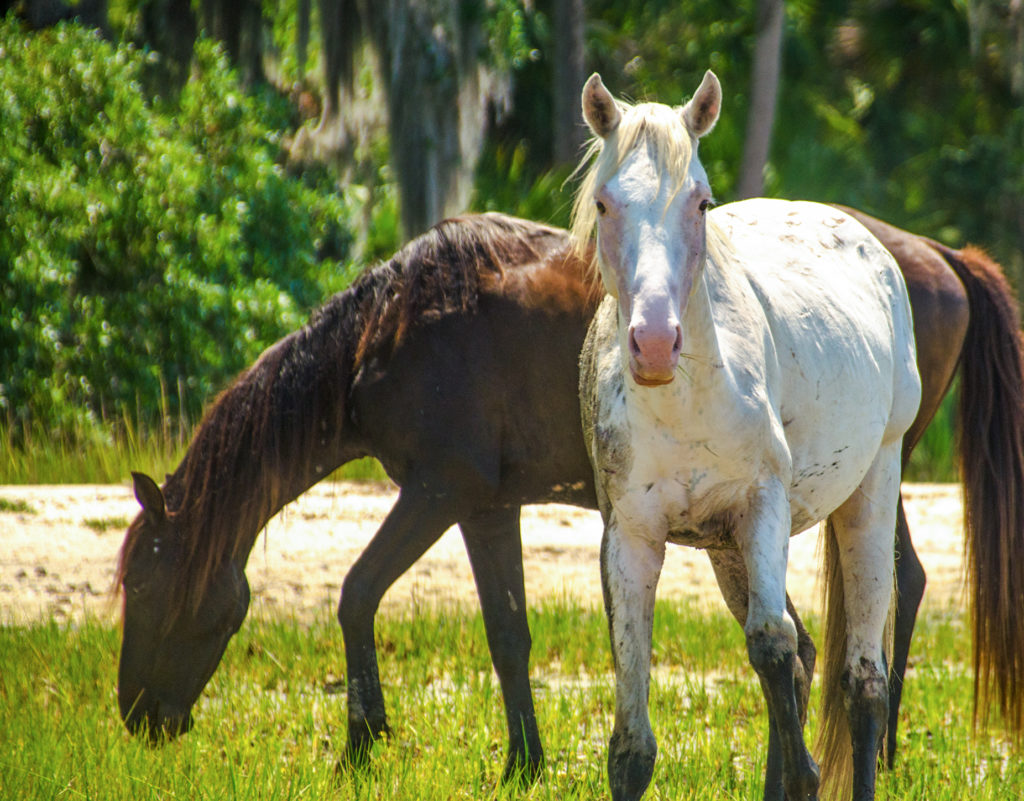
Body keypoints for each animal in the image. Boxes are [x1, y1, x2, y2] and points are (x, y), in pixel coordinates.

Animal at [116, 208, 1024, 790]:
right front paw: (524, 761)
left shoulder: (438, 491)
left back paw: (884, 747)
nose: (137, 718)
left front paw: (362, 742)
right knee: (823, 631)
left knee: (889, 592)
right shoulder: (486, 506)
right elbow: (507, 631)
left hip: (869, 478)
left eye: (148, 586)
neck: (398, 327)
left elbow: (357, 593)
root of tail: (935, 255)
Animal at [577, 72, 1024, 798]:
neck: (685, 400)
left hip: (876, 482)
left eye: (701, 202)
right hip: (725, 546)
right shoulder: (632, 536)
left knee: (860, 679)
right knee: (806, 653)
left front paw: (807, 775)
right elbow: (632, 746)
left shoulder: (763, 506)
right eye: (604, 203)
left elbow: (771, 644)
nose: (654, 342)